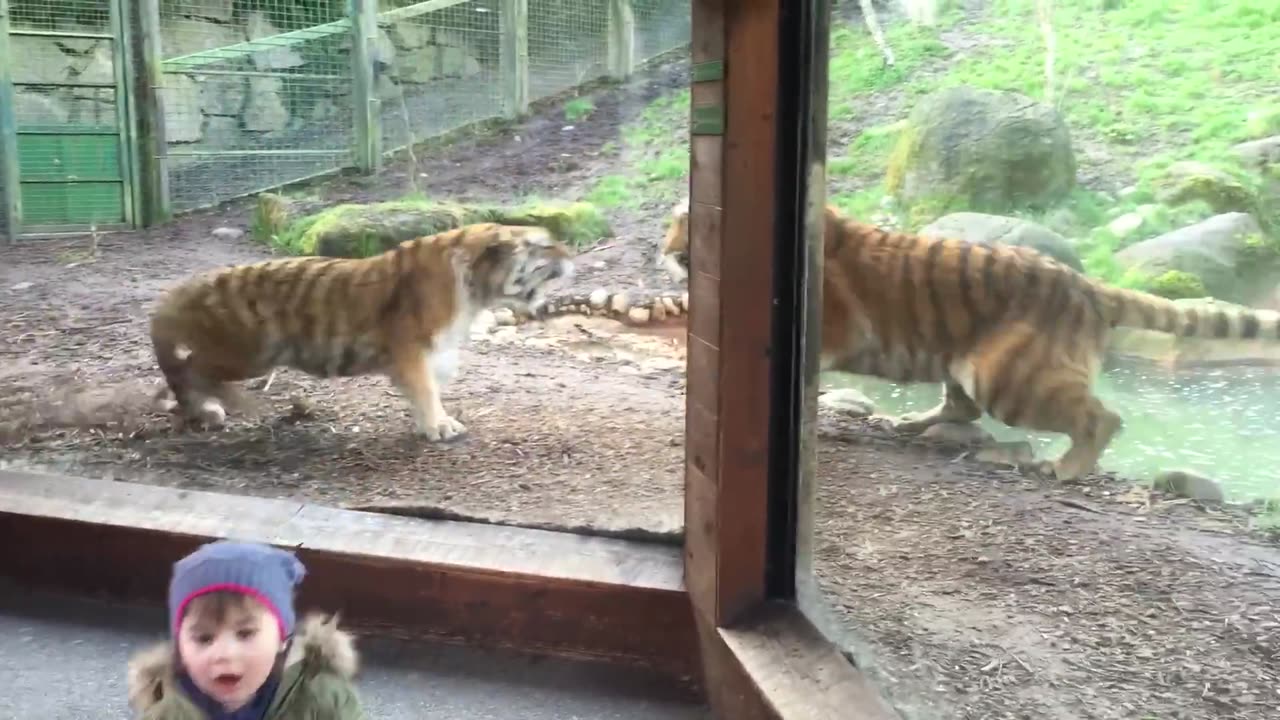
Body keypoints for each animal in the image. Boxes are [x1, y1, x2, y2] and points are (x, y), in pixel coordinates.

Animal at [146, 221, 581, 440]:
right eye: (544, 246)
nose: (572, 253)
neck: (475, 290)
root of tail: (180, 291)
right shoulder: (410, 347)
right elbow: (426, 389)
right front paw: (440, 426)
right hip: (246, 353)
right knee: (190, 368)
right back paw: (219, 404)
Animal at [660, 197, 1280, 476]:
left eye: (683, 222)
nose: (663, 251)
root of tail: (1087, 285)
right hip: (963, 364)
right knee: (960, 410)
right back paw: (911, 422)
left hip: (1007, 375)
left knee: (1102, 416)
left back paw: (1064, 469)